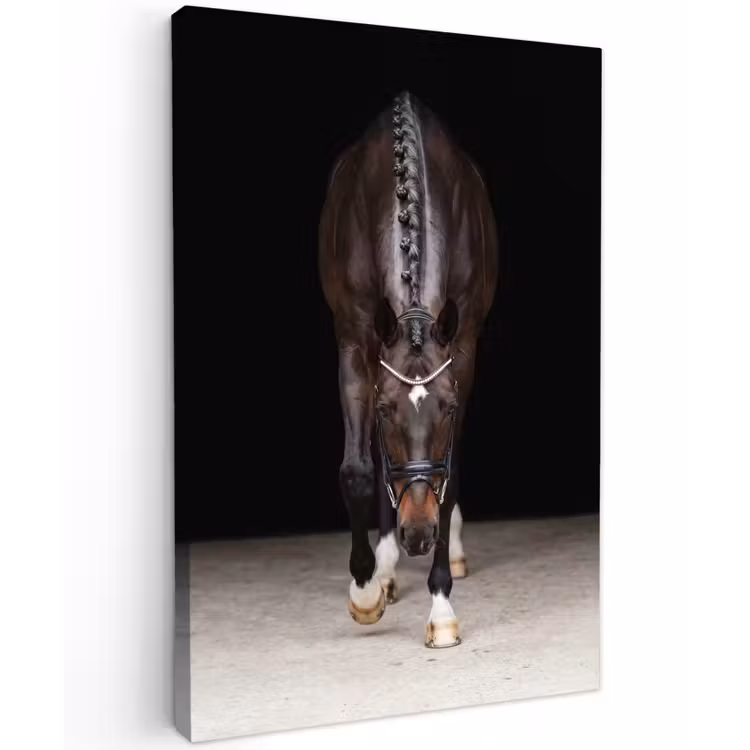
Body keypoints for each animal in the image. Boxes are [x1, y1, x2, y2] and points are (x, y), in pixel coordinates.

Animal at [318, 91, 499, 648]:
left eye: (448, 408)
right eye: (384, 409)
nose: (418, 534)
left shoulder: (463, 348)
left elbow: (449, 475)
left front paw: (441, 607)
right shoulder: (355, 342)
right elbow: (358, 470)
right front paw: (365, 590)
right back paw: (386, 568)